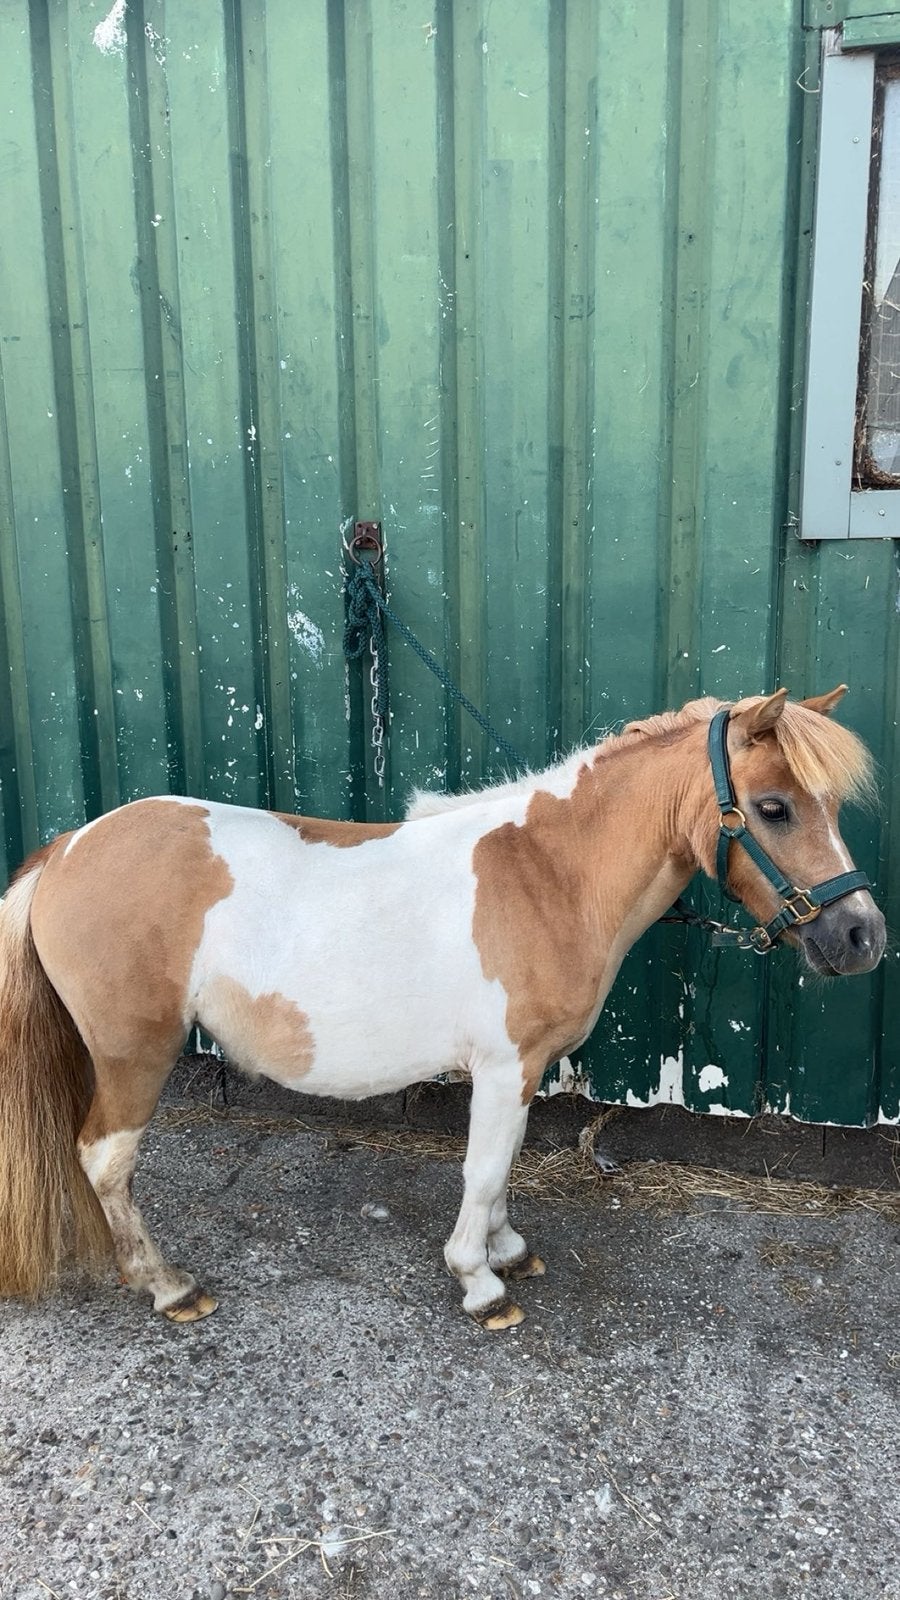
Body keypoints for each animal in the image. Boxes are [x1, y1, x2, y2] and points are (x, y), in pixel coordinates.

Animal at [0, 687, 885, 1330]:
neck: (550, 873)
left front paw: (507, 1248)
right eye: (773, 807)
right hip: (134, 1054)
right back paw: (167, 1285)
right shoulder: (504, 1065)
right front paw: (480, 1282)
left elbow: (505, 1165)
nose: (861, 935)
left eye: (830, 806)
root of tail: (69, 848)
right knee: (104, 1160)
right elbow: (484, 1168)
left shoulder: (523, 1072)